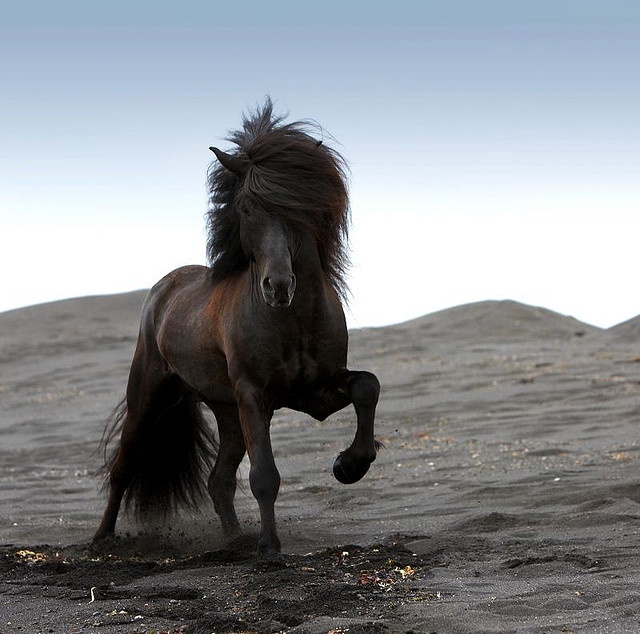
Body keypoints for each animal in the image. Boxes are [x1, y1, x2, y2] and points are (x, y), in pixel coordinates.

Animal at [93, 99, 381, 558]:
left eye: (296, 210)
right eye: (247, 209)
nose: (278, 287)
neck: (292, 320)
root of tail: (163, 289)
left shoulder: (314, 392)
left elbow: (367, 386)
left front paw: (348, 465)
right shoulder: (254, 396)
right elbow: (265, 476)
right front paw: (270, 549)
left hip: (227, 412)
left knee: (219, 481)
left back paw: (233, 540)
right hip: (151, 395)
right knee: (124, 466)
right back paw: (100, 540)